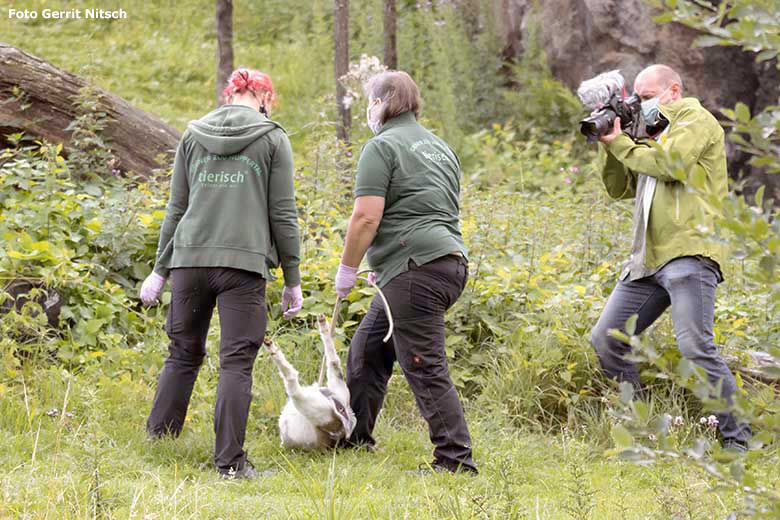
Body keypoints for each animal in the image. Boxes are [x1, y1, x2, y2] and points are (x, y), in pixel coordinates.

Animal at [266, 314, 356, 448]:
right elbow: (333, 361)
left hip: (306, 402)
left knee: (291, 380)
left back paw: (272, 349)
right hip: (335, 389)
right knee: (333, 362)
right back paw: (323, 324)